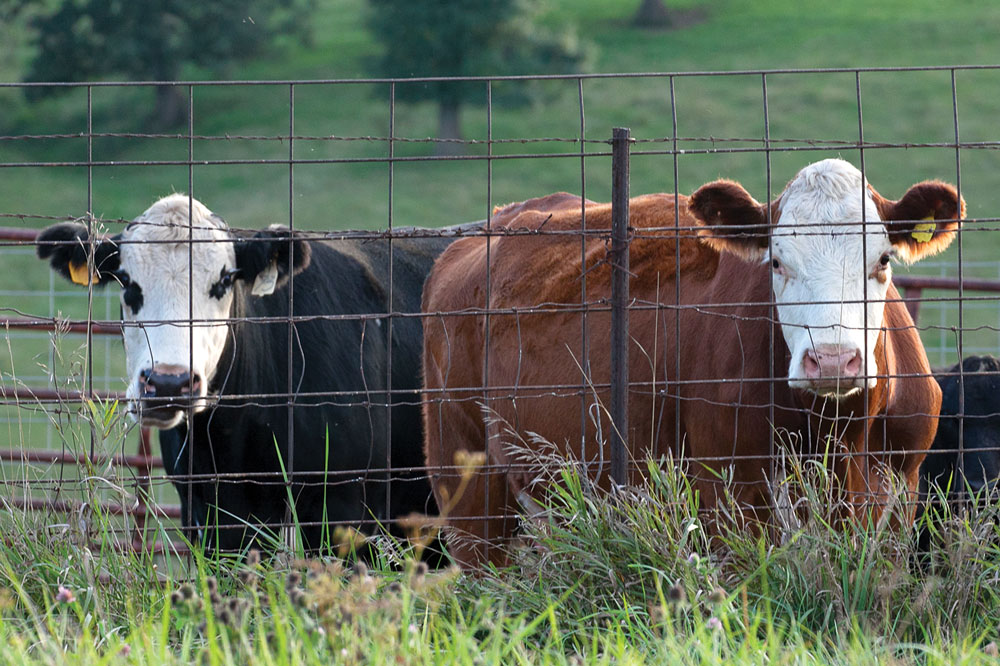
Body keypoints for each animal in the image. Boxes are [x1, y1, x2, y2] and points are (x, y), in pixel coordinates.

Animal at [422, 157, 960, 564]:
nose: (831, 360)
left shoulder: (901, 492)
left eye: (883, 260)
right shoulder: (729, 492)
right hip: (469, 488)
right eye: (777, 261)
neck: (842, 436)